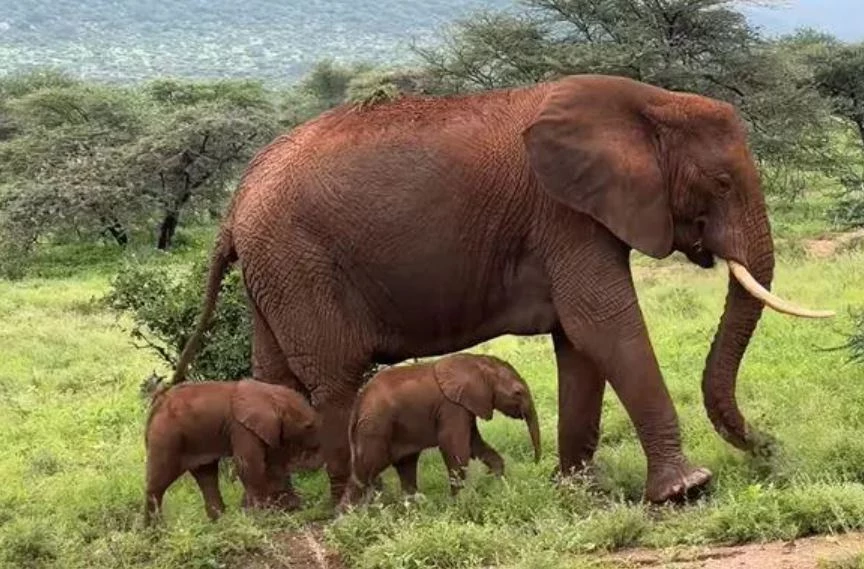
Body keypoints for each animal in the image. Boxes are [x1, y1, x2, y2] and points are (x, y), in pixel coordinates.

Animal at [145, 378, 320, 524]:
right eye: (308, 426)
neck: (270, 394)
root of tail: (158, 402)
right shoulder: (241, 428)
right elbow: (249, 465)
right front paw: (263, 515)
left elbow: (273, 464)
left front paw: (288, 508)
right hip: (166, 435)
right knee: (158, 483)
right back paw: (154, 533)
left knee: (206, 475)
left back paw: (221, 522)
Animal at [338, 352, 540, 508]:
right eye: (518, 393)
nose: (536, 463)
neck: (477, 362)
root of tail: (357, 404)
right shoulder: (451, 407)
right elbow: (455, 448)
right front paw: (458, 504)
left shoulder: (465, 405)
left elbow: (475, 444)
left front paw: (497, 483)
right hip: (374, 427)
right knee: (365, 472)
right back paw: (345, 521)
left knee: (406, 465)